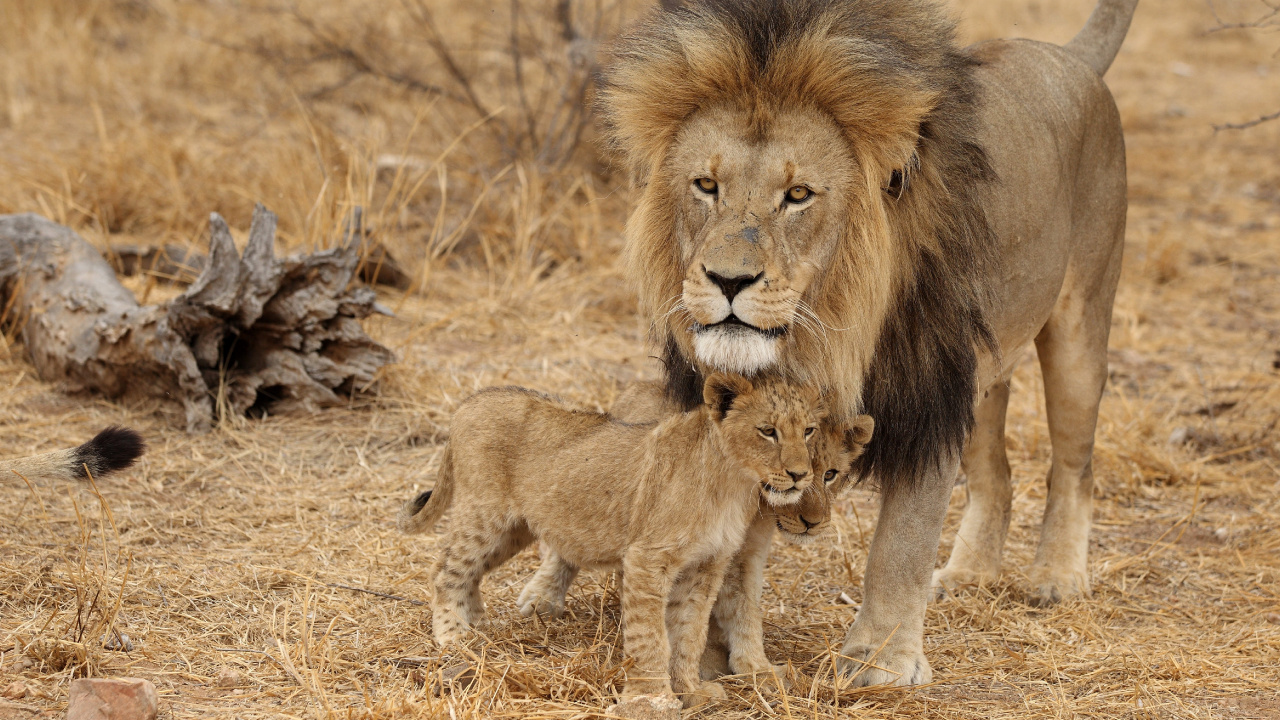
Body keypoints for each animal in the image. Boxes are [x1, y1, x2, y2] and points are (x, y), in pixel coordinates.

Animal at [396, 374, 824, 707]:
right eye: (767, 431)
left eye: (808, 431)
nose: (800, 475)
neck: (733, 482)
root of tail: (473, 399)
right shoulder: (647, 559)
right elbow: (651, 637)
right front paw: (655, 699)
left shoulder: (707, 566)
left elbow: (689, 634)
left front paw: (691, 691)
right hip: (485, 515)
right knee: (444, 571)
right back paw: (453, 637)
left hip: (514, 529)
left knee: (471, 572)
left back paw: (477, 625)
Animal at [600, 0, 1136, 685]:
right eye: (705, 186)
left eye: (798, 195)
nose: (727, 280)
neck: (827, 334)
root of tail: (1065, 55)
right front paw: (713, 653)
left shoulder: (930, 396)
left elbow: (901, 543)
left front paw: (878, 661)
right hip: (982, 376)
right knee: (996, 473)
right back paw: (968, 574)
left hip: (1080, 328)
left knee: (1073, 464)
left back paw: (1057, 578)